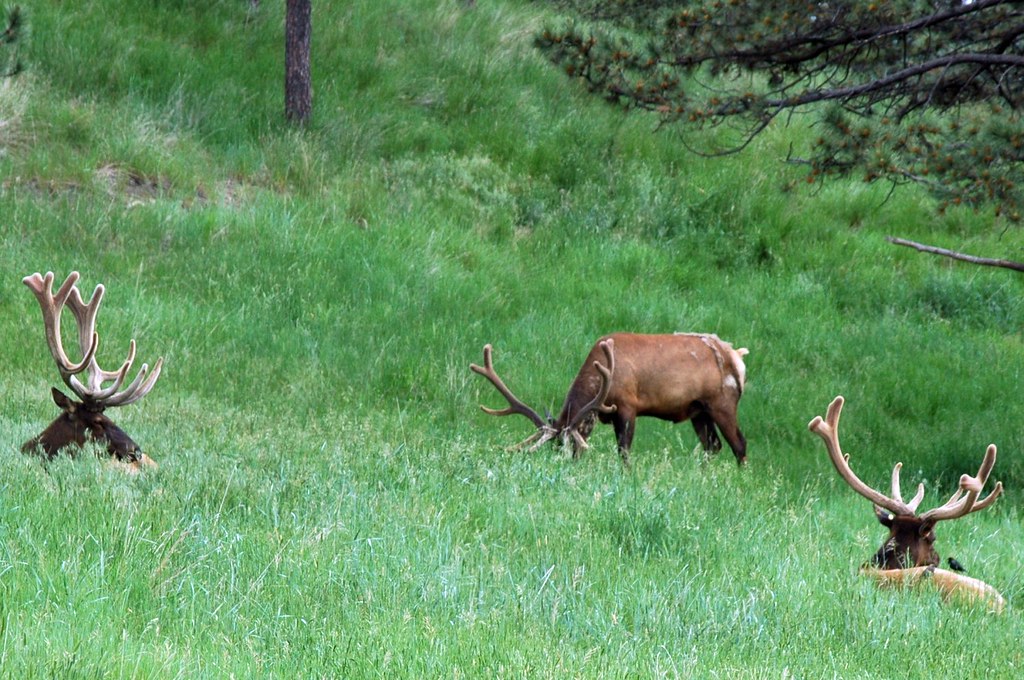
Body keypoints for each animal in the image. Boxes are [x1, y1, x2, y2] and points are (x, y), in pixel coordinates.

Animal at [471, 332, 749, 466]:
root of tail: (737, 358)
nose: (565, 466)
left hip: (722, 402)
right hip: (698, 410)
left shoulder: (627, 404)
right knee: (713, 445)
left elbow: (623, 449)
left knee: (739, 444)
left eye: (571, 446)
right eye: (555, 447)